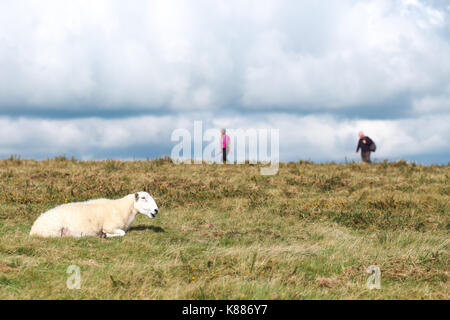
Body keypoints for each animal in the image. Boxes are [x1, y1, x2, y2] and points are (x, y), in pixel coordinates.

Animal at [29, 190, 159, 238]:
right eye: (143, 198)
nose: (156, 210)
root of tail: (33, 229)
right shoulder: (109, 226)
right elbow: (122, 233)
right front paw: (105, 235)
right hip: (53, 232)